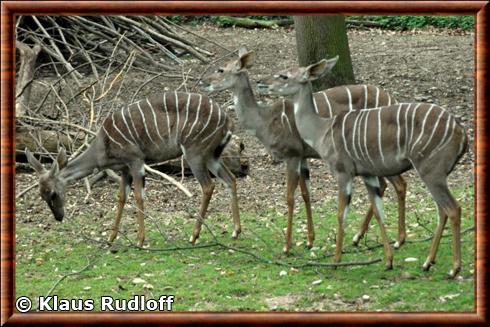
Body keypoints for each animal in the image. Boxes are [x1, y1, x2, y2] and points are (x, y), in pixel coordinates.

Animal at [26, 91, 241, 247]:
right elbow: (122, 197)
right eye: (41, 195)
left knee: (208, 186)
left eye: (53, 193)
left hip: (194, 153)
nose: (58, 217)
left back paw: (194, 236)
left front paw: (140, 240)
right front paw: (111, 238)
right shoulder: (124, 168)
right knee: (230, 179)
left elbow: (138, 196)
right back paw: (235, 231)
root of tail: (227, 120)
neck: (103, 147)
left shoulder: (136, 161)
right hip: (212, 155)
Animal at [201, 48, 408, 254]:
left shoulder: (291, 155)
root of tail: (391, 97)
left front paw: (287, 246)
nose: (202, 81)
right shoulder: (303, 156)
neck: (264, 121)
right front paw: (309, 241)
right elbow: (306, 194)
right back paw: (358, 237)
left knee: (399, 184)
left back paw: (397, 240)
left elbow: (290, 196)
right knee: (385, 184)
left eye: (221, 69)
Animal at [256, 57, 468, 278]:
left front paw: (335, 261)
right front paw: (388, 261)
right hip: (433, 174)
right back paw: (427, 262)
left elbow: (341, 213)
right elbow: (379, 210)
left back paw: (453, 268)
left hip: (431, 172)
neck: (322, 130)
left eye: (284, 75)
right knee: (442, 210)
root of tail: (462, 133)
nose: (261, 82)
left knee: (452, 209)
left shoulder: (343, 172)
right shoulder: (368, 175)